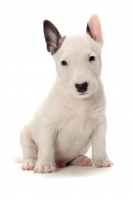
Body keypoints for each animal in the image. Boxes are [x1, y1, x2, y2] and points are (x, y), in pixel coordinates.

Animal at [19, 14, 112, 173]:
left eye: (91, 58)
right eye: (64, 62)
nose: (81, 86)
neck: (78, 102)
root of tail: (61, 162)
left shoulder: (100, 122)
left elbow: (100, 143)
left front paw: (101, 161)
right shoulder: (49, 124)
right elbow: (46, 147)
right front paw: (45, 165)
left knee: (71, 159)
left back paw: (81, 159)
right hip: (25, 134)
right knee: (30, 151)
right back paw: (31, 162)